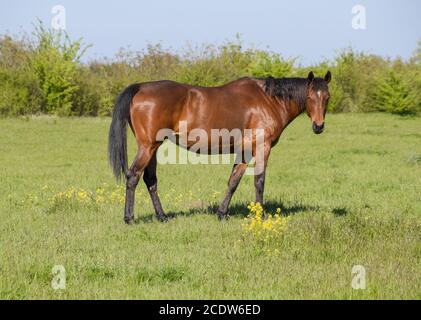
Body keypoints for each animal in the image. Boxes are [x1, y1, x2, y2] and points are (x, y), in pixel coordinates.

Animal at [108, 71, 332, 224]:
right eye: (310, 97)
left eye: (327, 97)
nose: (318, 126)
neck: (269, 100)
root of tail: (140, 87)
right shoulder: (263, 147)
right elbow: (259, 181)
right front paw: (261, 215)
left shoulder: (244, 151)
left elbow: (233, 181)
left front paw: (222, 213)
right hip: (148, 147)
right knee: (133, 176)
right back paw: (129, 218)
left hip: (152, 148)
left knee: (150, 180)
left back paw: (162, 216)